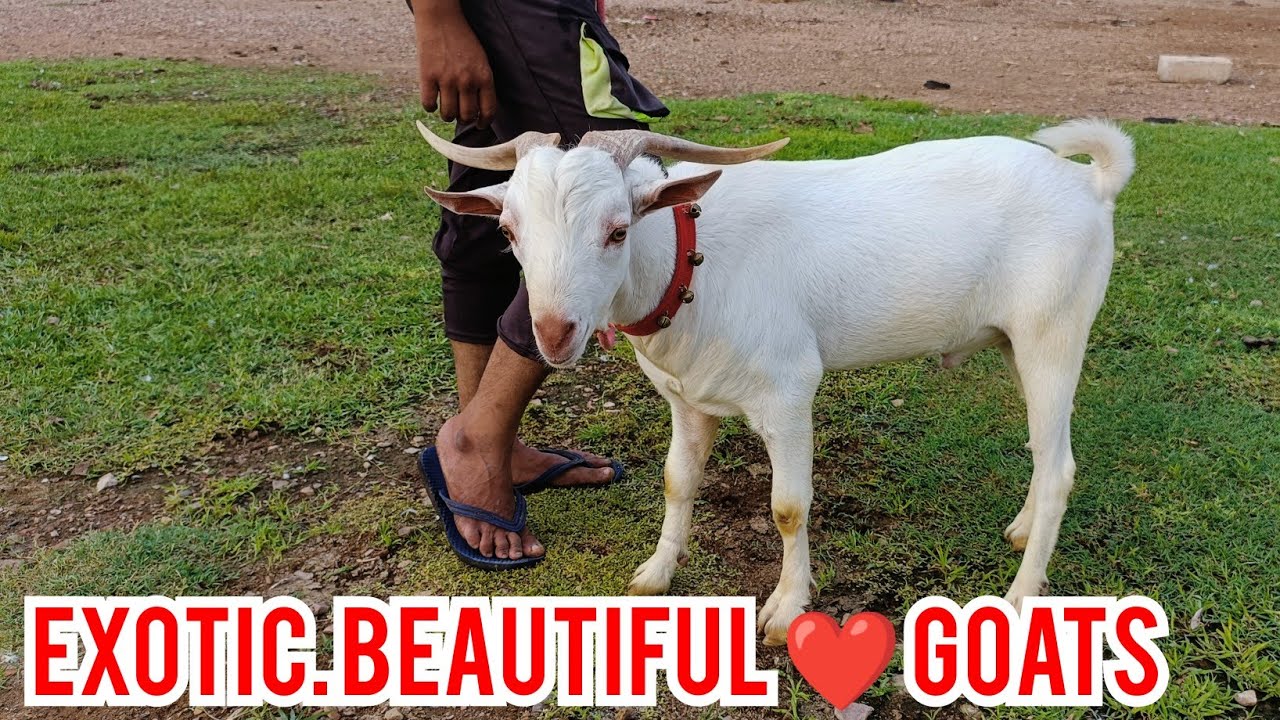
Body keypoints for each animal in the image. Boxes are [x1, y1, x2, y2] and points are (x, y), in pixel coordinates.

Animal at [417, 118, 1135, 645]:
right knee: (1043, 451)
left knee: (1061, 467)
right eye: (508, 231)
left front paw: (787, 611)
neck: (690, 259)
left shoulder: (788, 393)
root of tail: (1090, 185)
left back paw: (1018, 600)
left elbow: (788, 507)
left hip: (1053, 331)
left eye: (618, 230)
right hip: (1017, 341)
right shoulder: (687, 399)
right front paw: (656, 572)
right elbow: (678, 481)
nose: (554, 333)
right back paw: (1022, 532)